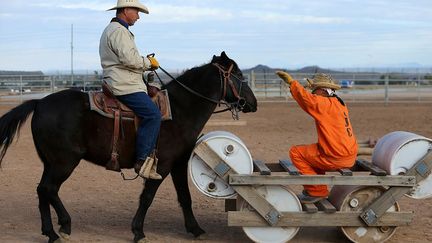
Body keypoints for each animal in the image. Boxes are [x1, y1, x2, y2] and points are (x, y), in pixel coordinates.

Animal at [0, 51, 256, 241]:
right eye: (239, 75)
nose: (252, 103)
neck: (179, 110)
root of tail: (39, 102)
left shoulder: (179, 163)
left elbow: (184, 196)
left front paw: (195, 229)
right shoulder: (161, 166)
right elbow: (147, 197)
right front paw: (138, 231)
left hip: (50, 162)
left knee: (42, 190)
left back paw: (50, 231)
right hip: (65, 162)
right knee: (49, 189)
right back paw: (63, 227)